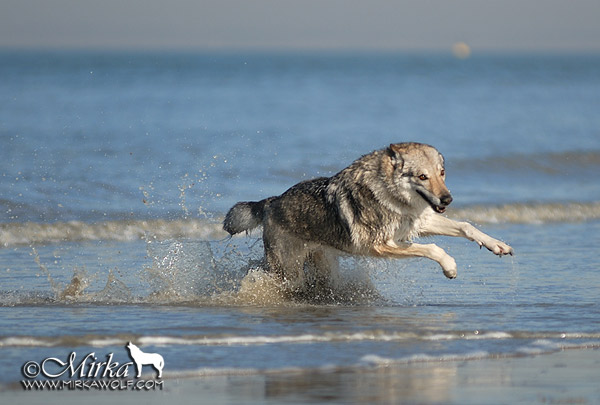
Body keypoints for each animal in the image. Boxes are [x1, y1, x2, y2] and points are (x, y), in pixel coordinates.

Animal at [223, 143, 512, 294]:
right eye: (422, 176)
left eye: (442, 173)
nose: (447, 199)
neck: (390, 195)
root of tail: (271, 202)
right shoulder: (380, 245)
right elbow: (432, 248)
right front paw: (450, 267)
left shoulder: (419, 223)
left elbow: (466, 226)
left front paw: (497, 245)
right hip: (289, 271)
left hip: (322, 266)